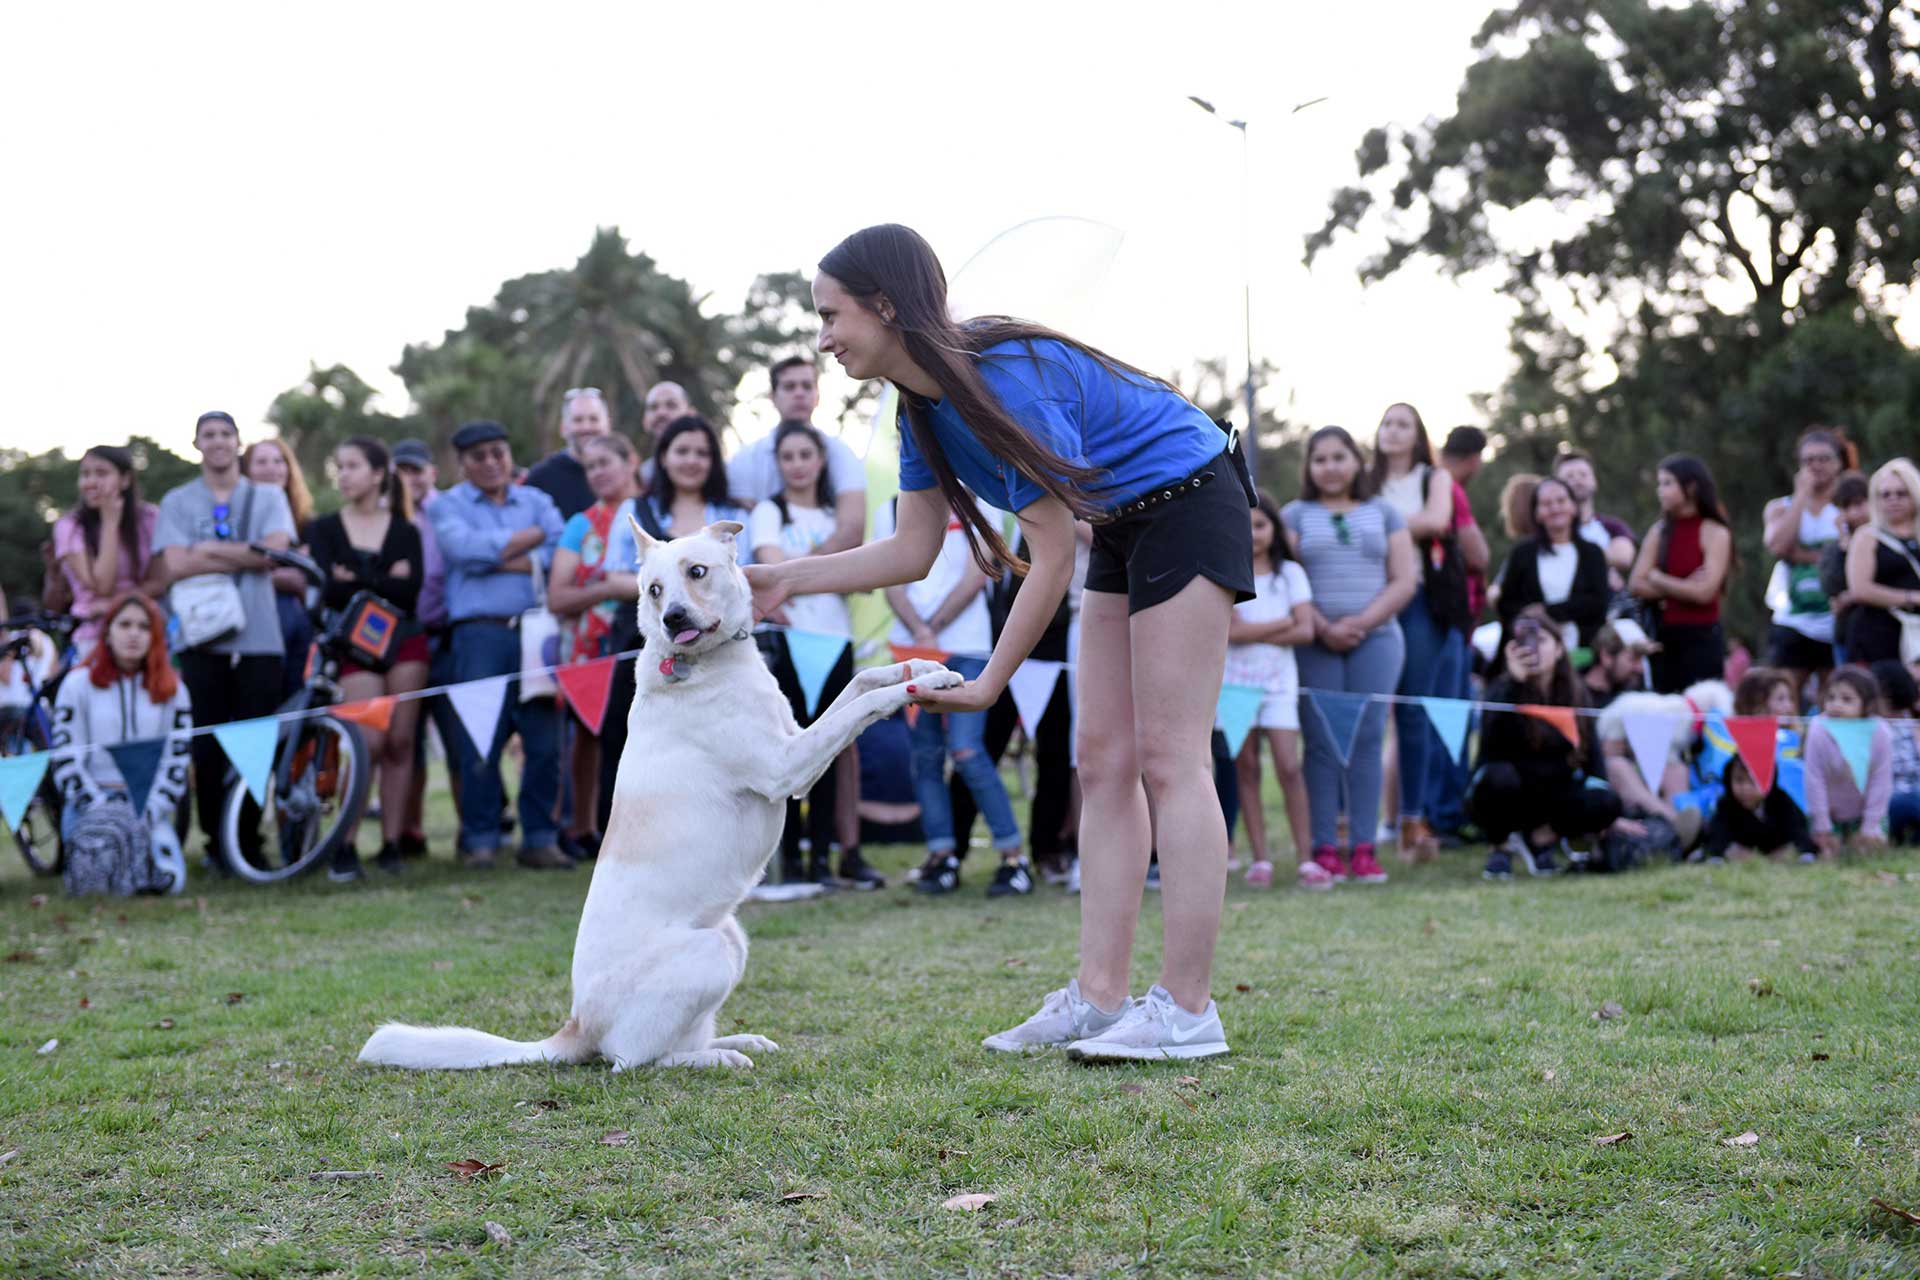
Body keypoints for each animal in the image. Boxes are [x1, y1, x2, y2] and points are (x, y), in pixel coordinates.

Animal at [360, 521, 960, 1074]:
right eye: (652, 589)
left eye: (696, 572)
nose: (672, 618)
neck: (707, 664)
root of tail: (576, 1026)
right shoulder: (786, 770)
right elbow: (865, 704)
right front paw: (917, 686)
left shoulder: (799, 755)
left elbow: (859, 684)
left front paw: (923, 668)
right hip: (708, 954)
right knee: (634, 1060)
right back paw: (716, 1059)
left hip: (731, 938)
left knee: (668, 1041)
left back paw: (736, 1041)